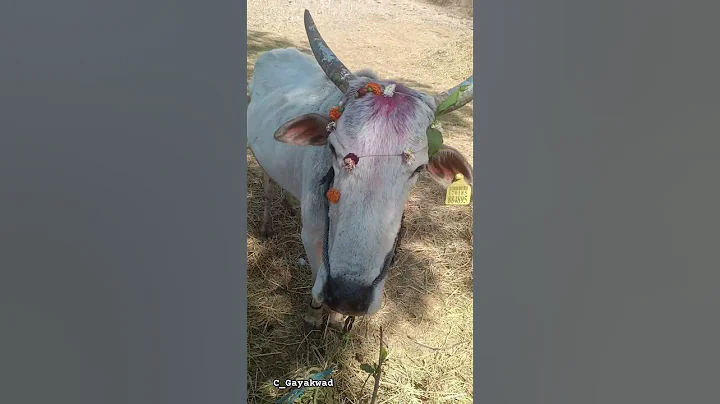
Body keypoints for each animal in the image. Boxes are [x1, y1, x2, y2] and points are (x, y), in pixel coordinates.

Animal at [247, 10, 474, 331]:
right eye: (332, 149)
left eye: (419, 168)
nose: (349, 296)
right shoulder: (311, 236)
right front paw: (317, 314)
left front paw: (337, 317)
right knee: (267, 186)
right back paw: (267, 225)